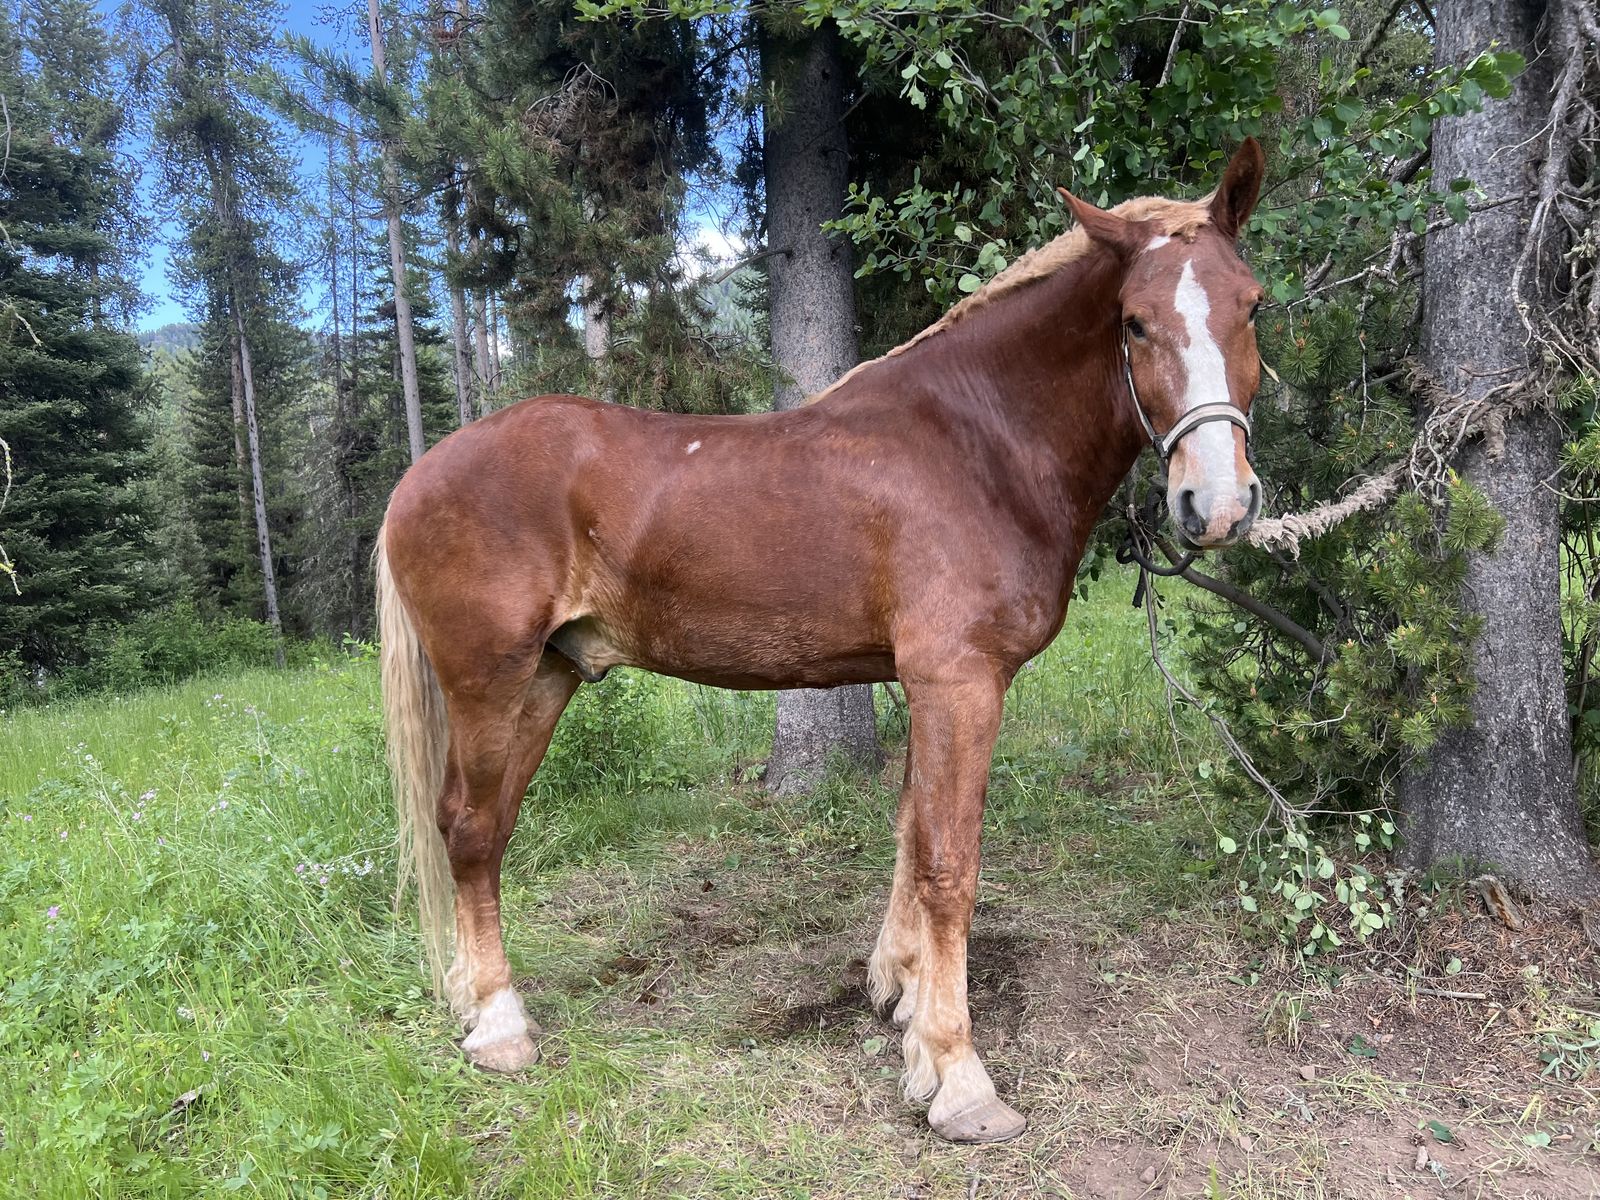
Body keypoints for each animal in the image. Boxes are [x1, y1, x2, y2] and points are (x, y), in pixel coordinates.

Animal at [377, 138, 1267, 1144]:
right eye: (1135, 323)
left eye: (1251, 305)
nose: (1216, 504)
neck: (978, 443)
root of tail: (419, 476)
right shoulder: (960, 683)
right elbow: (949, 865)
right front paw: (959, 1078)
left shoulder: (928, 685)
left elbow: (912, 838)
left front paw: (906, 1007)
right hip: (489, 680)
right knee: (469, 827)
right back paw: (499, 1027)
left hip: (548, 678)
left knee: (487, 828)